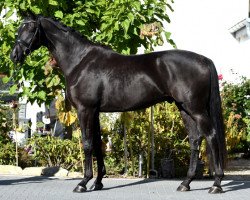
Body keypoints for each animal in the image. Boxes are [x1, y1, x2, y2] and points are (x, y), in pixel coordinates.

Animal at [10, 11, 227, 193]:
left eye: (30, 28)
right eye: (19, 27)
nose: (14, 55)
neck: (80, 61)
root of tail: (204, 60)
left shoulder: (85, 110)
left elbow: (87, 144)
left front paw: (83, 183)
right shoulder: (95, 112)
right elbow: (98, 145)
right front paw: (98, 182)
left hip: (196, 109)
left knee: (211, 135)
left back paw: (216, 184)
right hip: (184, 108)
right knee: (195, 139)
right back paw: (185, 183)